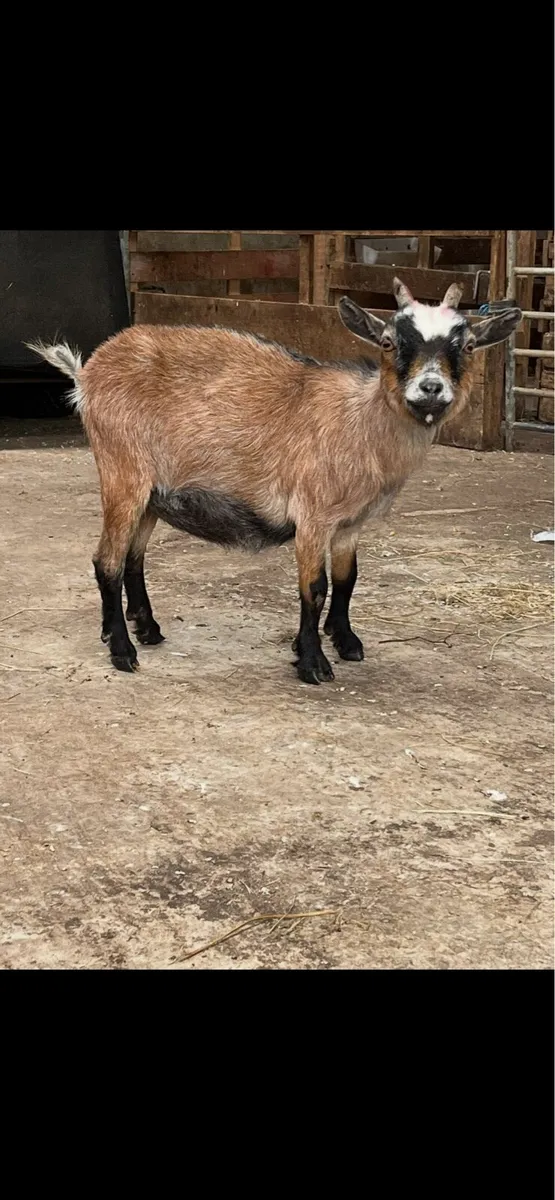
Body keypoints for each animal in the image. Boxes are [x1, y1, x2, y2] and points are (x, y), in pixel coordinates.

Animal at [27, 279, 521, 684]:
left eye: (469, 345)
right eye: (387, 341)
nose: (431, 389)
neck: (359, 422)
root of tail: (87, 373)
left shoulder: (350, 523)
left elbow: (347, 579)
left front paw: (346, 642)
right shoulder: (312, 516)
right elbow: (315, 588)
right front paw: (313, 663)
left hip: (152, 493)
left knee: (133, 558)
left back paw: (145, 629)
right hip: (122, 473)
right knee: (107, 560)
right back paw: (122, 650)